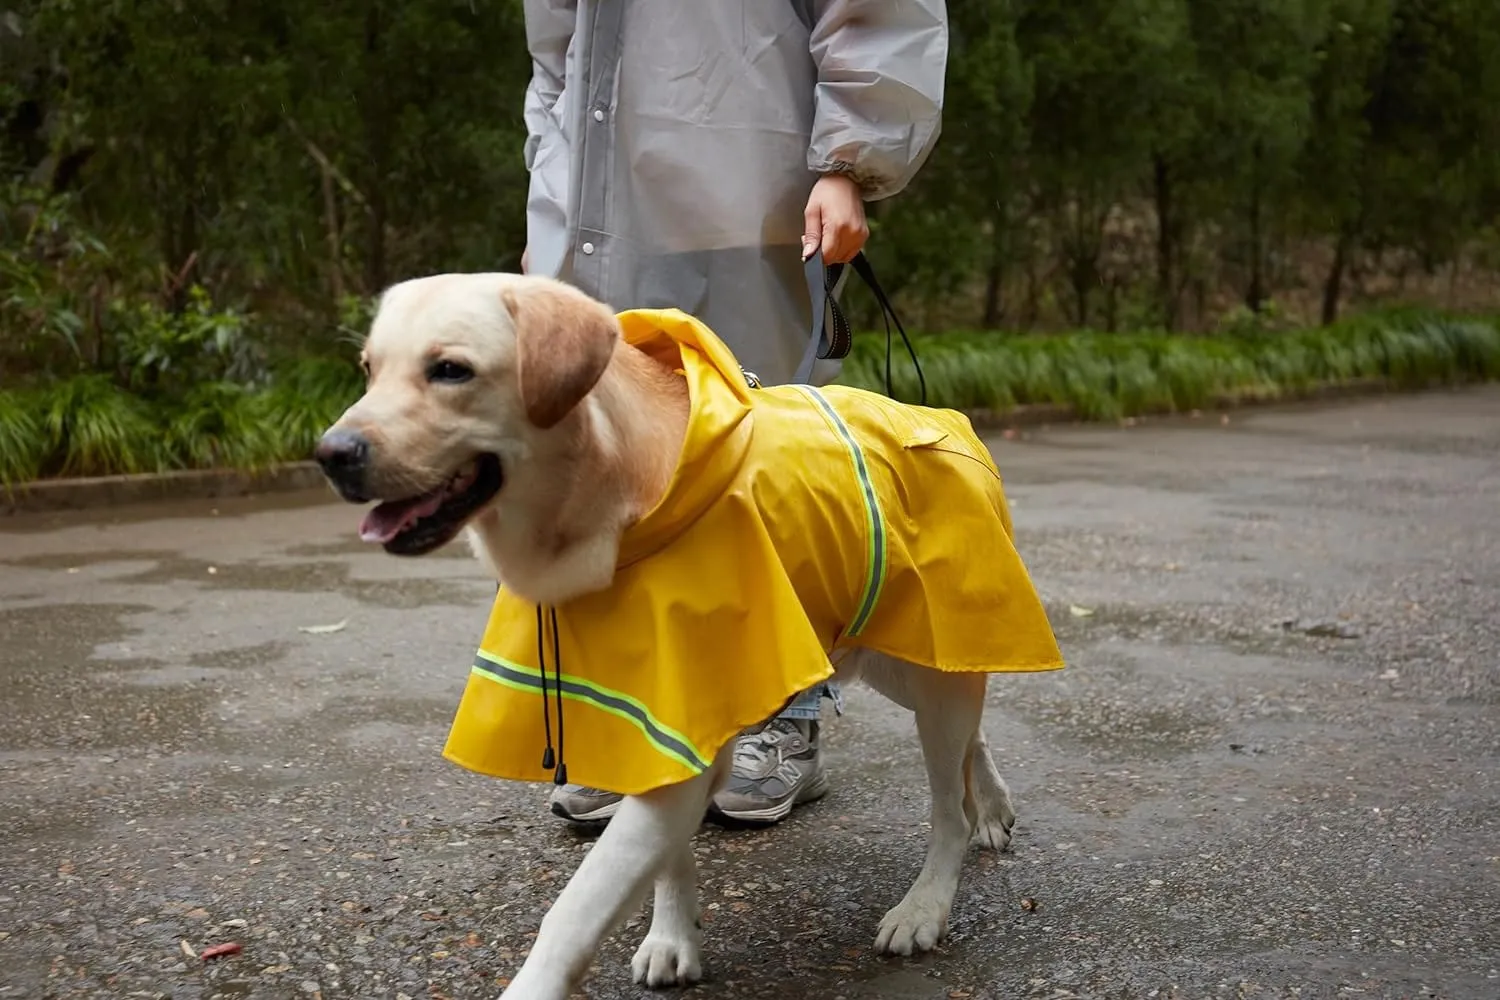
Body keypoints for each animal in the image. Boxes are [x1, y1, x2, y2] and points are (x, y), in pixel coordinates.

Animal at [313, 269, 1068, 995]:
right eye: (368, 368)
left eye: (451, 370)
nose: (331, 453)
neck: (613, 507)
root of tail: (941, 414)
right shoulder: (661, 725)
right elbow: (670, 865)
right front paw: (674, 938)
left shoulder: (680, 726)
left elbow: (575, 909)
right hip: (890, 654)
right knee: (972, 725)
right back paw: (993, 806)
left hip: (925, 658)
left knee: (948, 804)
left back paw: (925, 905)